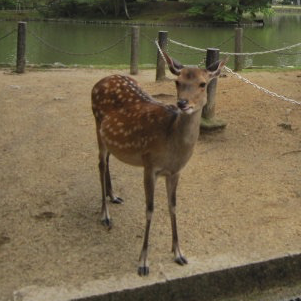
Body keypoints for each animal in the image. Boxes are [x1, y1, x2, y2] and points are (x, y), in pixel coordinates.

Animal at [91, 52, 225, 276]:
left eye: (203, 83)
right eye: (178, 81)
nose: (182, 103)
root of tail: (100, 81)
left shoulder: (175, 171)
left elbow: (173, 206)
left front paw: (178, 253)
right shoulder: (149, 165)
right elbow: (150, 209)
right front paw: (143, 263)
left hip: (108, 138)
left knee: (107, 160)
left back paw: (113, 196)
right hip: (97, 125)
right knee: (100, 164)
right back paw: (105, 215)